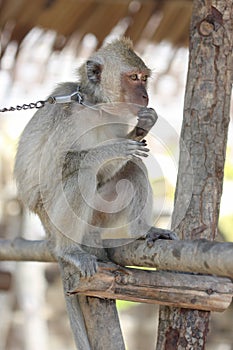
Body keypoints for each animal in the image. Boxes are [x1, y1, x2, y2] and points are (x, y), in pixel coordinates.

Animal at [13, 38, 176, 278]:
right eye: (133, 77)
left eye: (144, 78)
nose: (145, 96)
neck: (96, 106)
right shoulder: (66, 116)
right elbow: (52, 168)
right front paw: (112, 149)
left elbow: (112, 170)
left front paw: (144, 126)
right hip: (52, 221)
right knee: (83, 174)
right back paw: (69, 250)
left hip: (98, 217)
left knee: (133, 168)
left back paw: (142, 230)